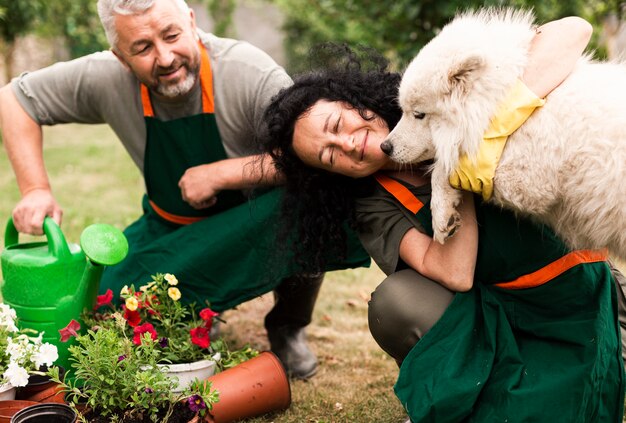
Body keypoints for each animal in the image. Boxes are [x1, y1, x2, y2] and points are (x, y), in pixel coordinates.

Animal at [380, 7, 624, 262]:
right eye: (403, 110)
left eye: (418, 114)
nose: (385, 147)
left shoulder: (527, 179)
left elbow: (442, 168)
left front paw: (441, 213)